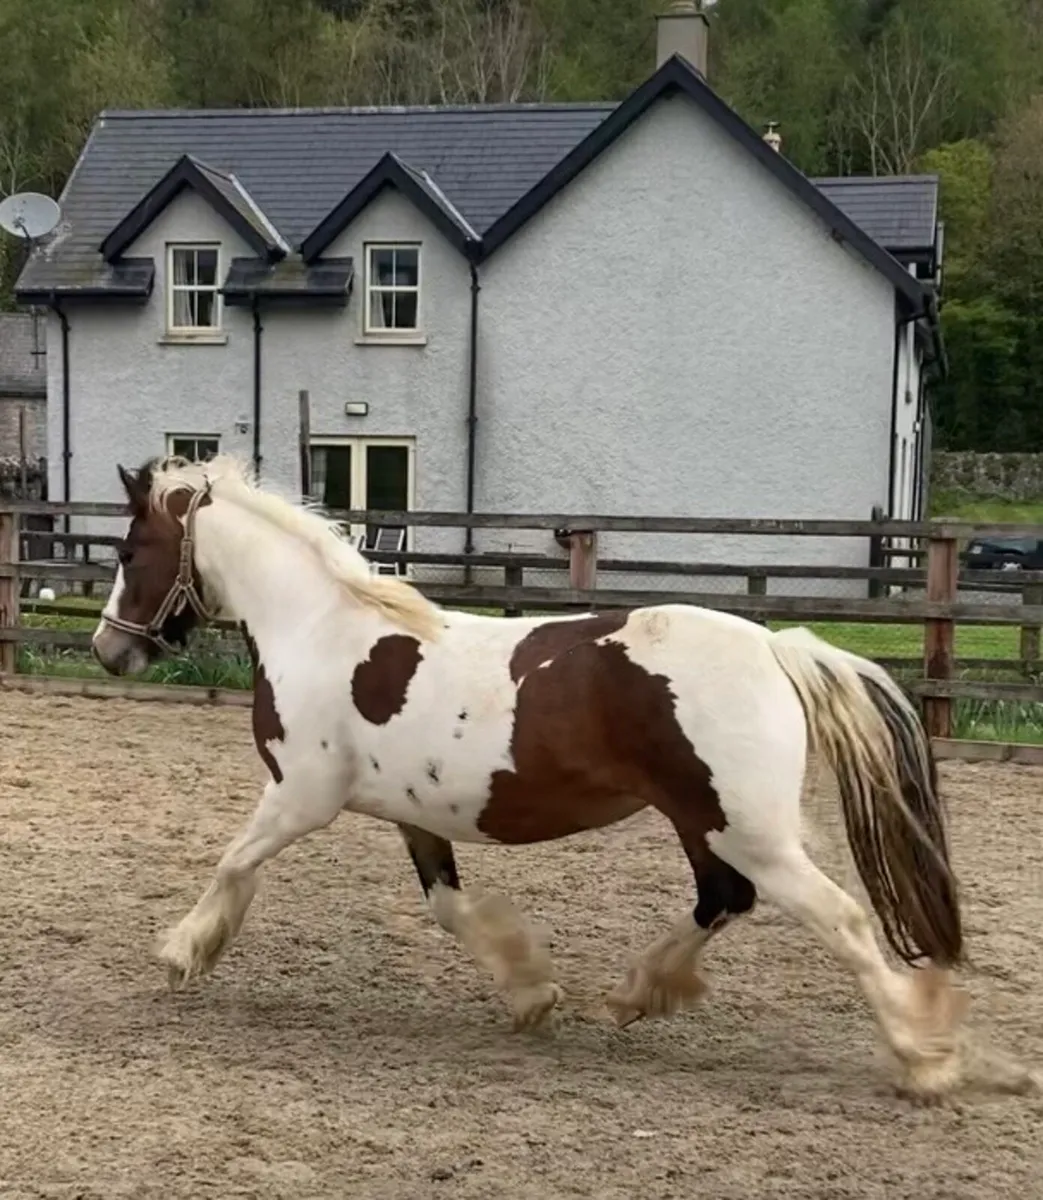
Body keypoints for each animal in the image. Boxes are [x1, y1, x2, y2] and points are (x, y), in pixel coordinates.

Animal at [91, 452, 971, 1100]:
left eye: (129, 551)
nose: (109, 649)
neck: (320, 631)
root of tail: (775, 648)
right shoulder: (411, 814)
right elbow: (448, 908)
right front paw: (530, 993)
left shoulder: (302, 796)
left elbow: (232, 861)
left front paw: (182, 952)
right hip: (704, 820)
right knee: (721, 900)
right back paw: (634, 993)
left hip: (747, 829)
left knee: (837, 919)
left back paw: (922, 1057)